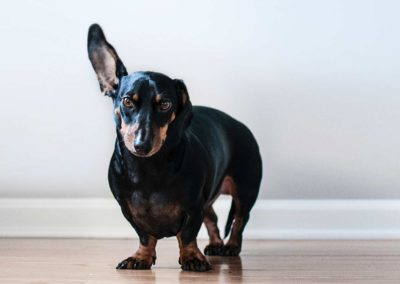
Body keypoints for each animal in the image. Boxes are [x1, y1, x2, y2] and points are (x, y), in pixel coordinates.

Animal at [87, 23, 262, 272]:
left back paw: (231, 246)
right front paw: (141, 257)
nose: (141, 145)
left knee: (239, 219)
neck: (147, 169)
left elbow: (187, 234)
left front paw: (191, 257)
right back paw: (216, 244)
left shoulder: (193, 206)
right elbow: (145, 235)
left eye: (165, 104)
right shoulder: (129, 211)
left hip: (245, 189)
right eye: (127, 101)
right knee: (213, 218)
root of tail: (240, 124)